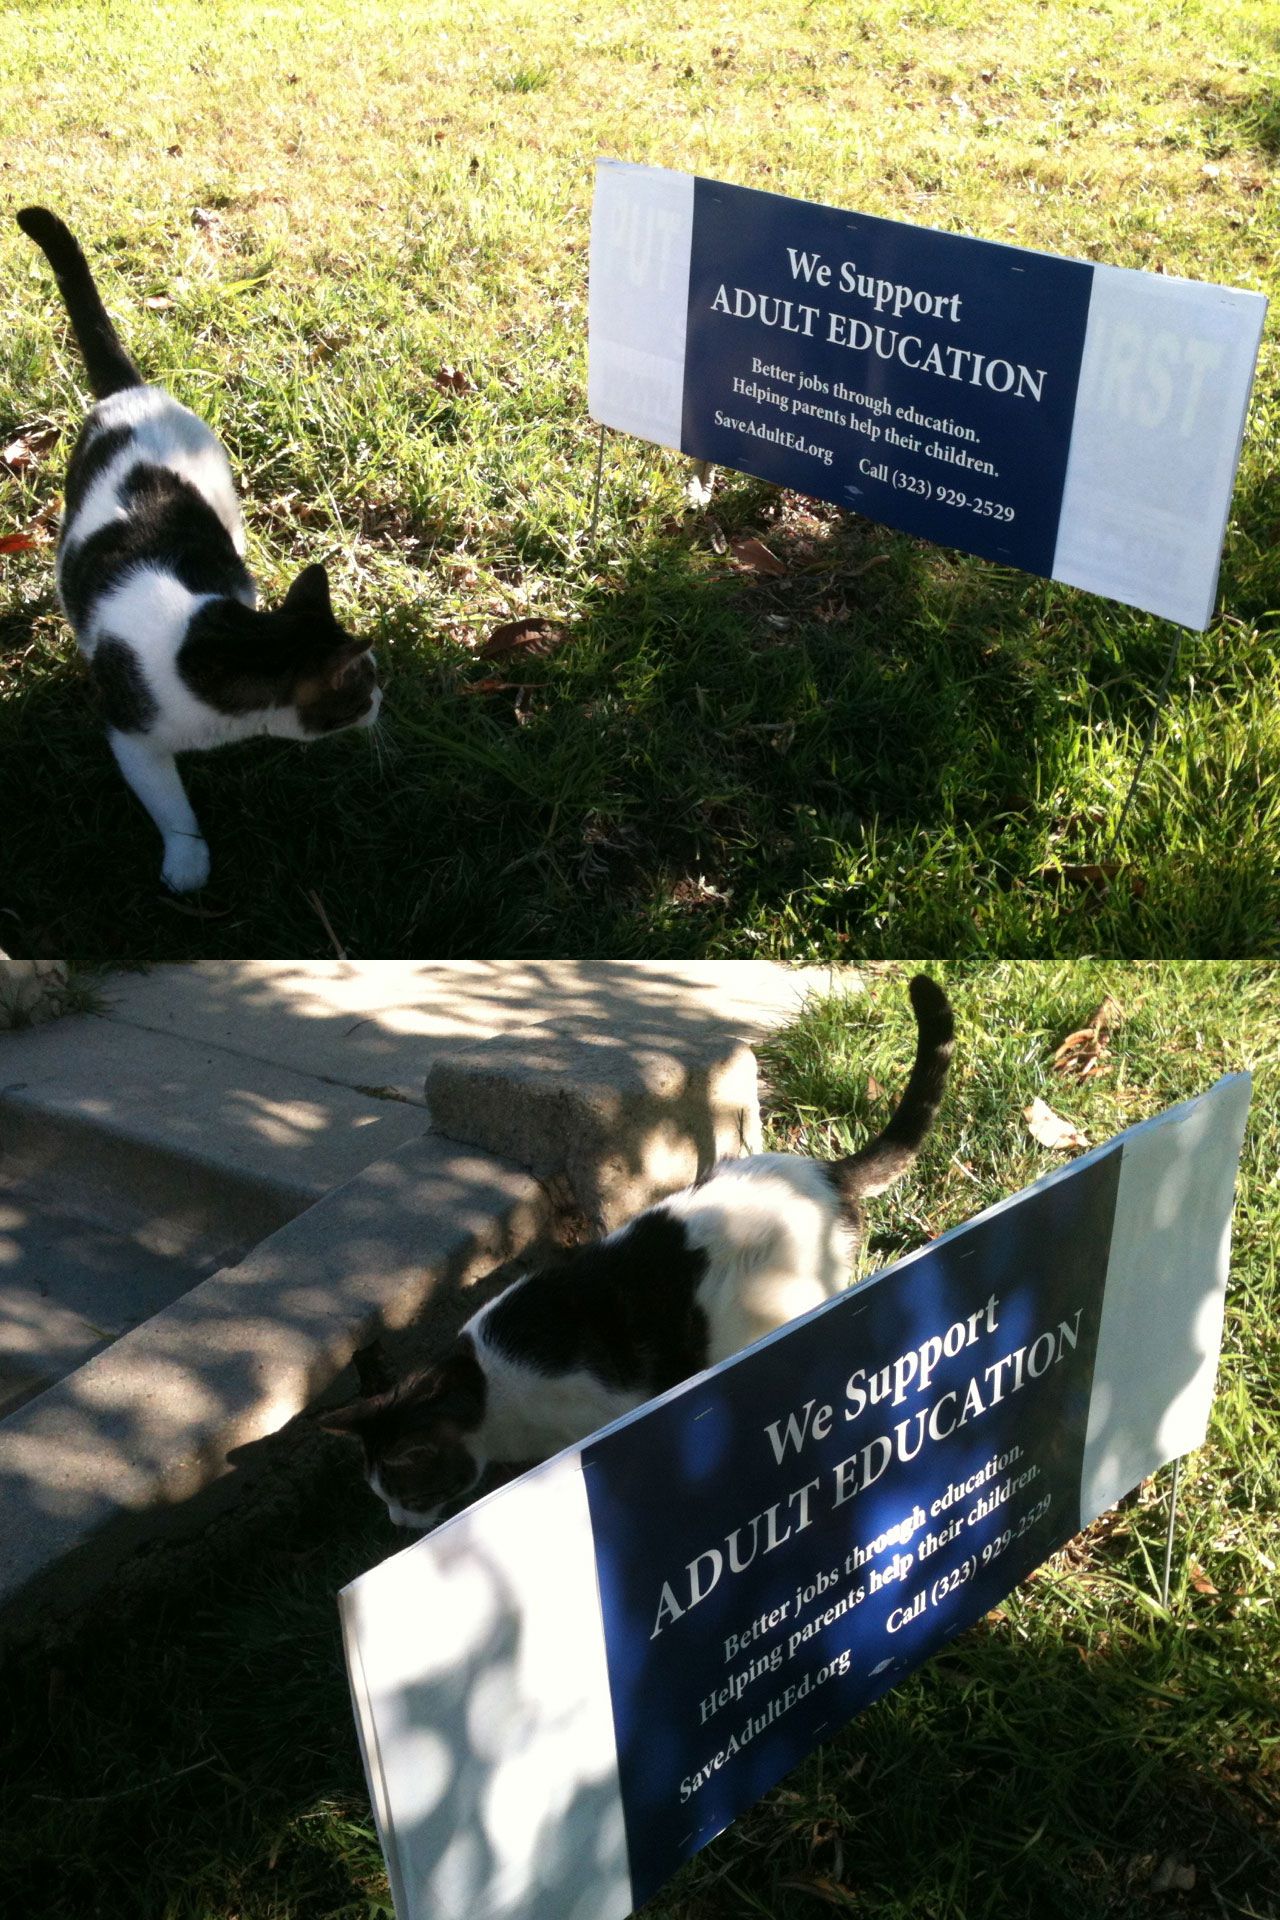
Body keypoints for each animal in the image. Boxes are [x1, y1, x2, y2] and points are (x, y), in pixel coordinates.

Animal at [18, 206, 379, 894]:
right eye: (364, 688)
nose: (381, 701)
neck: (213, 643)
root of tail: (131, 393)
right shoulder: (130, 733)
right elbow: (169, 805)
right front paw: (187, 862)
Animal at [318, 975, 951, 1528]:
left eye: (408, 1493)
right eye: (385, 1498)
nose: (398, 1524)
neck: (484, 1384)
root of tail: (825, 1172)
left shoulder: (607, 1413)